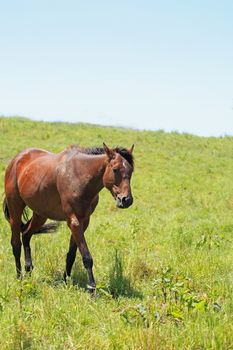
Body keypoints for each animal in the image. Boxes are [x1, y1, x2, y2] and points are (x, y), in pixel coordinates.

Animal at [3, 142, 135, 290]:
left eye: (131, 171)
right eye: (115, 169)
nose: (126, 200)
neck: (80, 175)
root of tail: (16, 159)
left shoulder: (83, 221)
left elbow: (71, 254)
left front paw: (66, 281)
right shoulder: (74, 221)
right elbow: (87, 257)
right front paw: (92, 288)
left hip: (40, 215)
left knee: (26, 234)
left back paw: (28, 271)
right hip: (15, 211)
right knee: (16, 243)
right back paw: (19, 278)